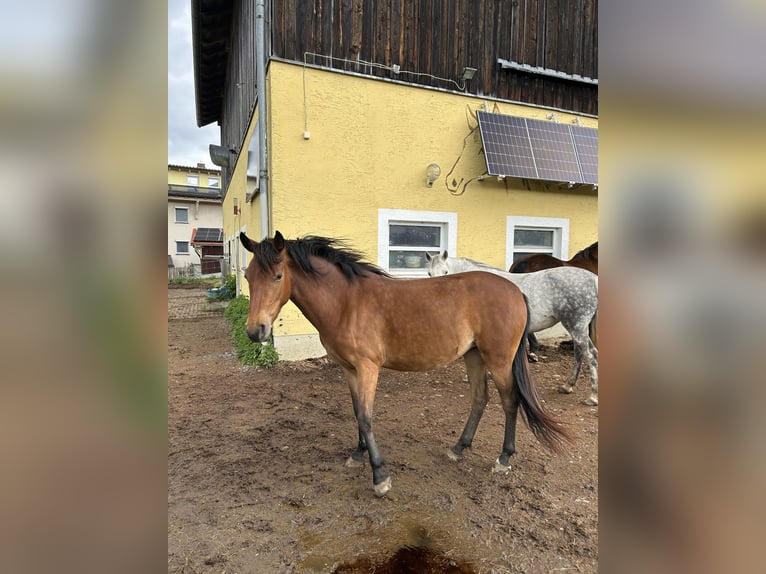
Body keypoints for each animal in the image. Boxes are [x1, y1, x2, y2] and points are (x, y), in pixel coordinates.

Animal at [239, 231, 570, 497]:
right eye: (248, 277)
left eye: (277, 276)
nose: (255, 331)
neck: (346, 303)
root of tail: (516, 291)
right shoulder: (348, 369)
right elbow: (356, 411)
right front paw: (357, 454)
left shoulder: (368, 368)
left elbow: (366, 417)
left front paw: (380, 476)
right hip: (474, 355)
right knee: (480, 398)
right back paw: (458, 448)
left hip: (499, 359)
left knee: (510, 401)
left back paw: (503, 458)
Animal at [426, 252, 599, 406]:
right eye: (429, 273)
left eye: (445, 272)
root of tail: (593, 279)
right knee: (580, 353)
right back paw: (567, 386)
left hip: (576, 325)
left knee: (591, 354)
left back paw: (592, 397)